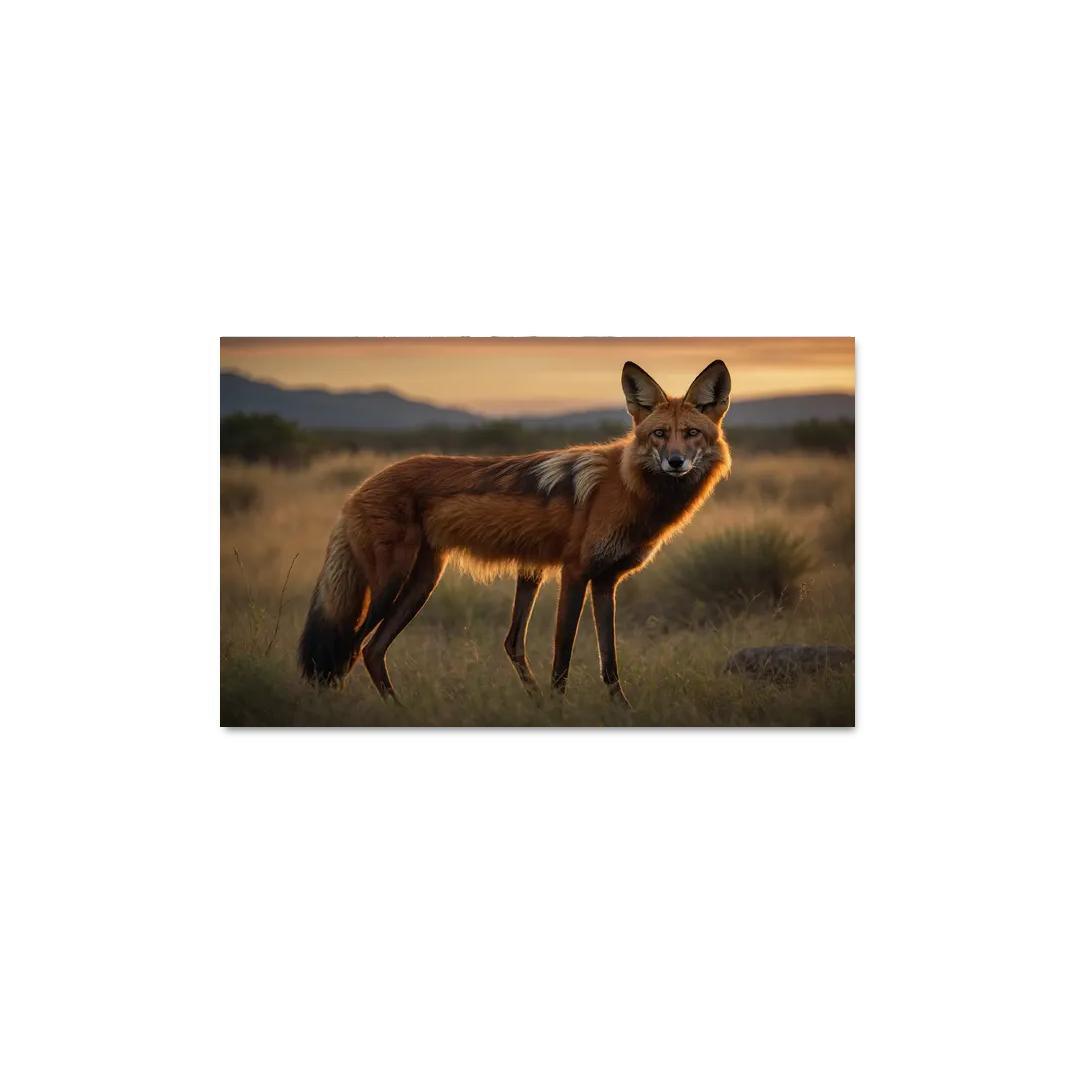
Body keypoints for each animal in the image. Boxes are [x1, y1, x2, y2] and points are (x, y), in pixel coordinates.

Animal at [298, 359, 732, 708]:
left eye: (691, 433)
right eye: (660, 434)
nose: (675, 462)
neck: (628, 487)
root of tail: (360, 487)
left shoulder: (606, 582)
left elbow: (609, 661)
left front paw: (621, 711)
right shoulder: (574, 573)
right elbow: (563, 656)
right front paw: (558, 710)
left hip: (423, 582)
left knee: (373, 651)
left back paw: (400, 711)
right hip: (391, 583)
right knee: (350, 647)